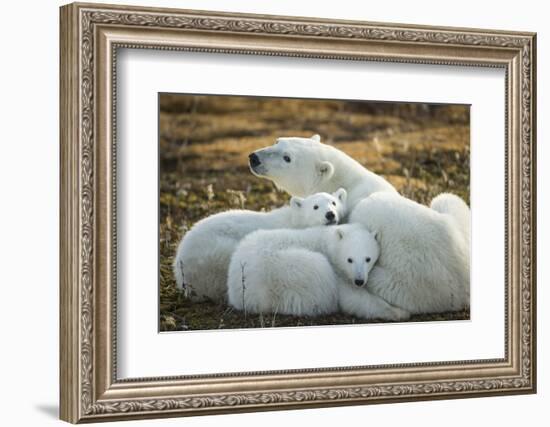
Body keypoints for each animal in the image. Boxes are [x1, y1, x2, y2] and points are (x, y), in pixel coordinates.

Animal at [250, 134, 470, 314]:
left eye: (287, 158)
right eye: (277, 141)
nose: (254, 157)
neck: (346, 182)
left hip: (411, 284)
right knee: (446, 199)